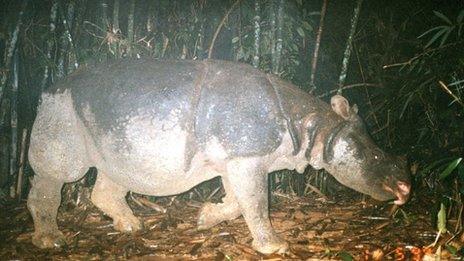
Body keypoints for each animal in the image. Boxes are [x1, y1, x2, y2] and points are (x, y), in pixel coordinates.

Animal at [27, 58, 410, 253]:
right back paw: (52, 241)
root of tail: (49, 87)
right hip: (61, 110)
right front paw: (276, 247)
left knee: (114, 172)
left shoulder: (236, 158)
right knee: (60, 174)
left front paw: (204, 219)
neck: (315, 126)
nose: (406, 188)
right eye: (373, 158)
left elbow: (239, 201)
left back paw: (133, 227)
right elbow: (256, 202)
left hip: (106, 121)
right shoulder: (247, 155)